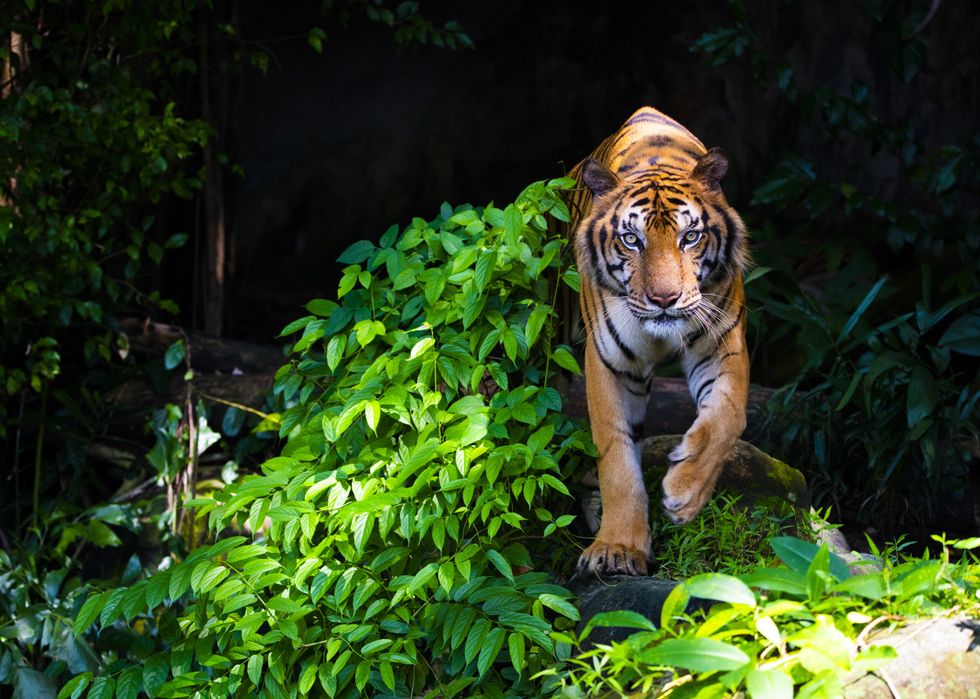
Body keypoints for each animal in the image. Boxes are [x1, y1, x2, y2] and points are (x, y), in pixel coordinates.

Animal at [566, 106, 750, 576]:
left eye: (690, 237)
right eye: (632, 239)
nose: (665, 299)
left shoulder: (723, 343)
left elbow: (727, 417)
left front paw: (684, 493)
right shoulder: (609, 362)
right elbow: (615, 453)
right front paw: (617, 548)